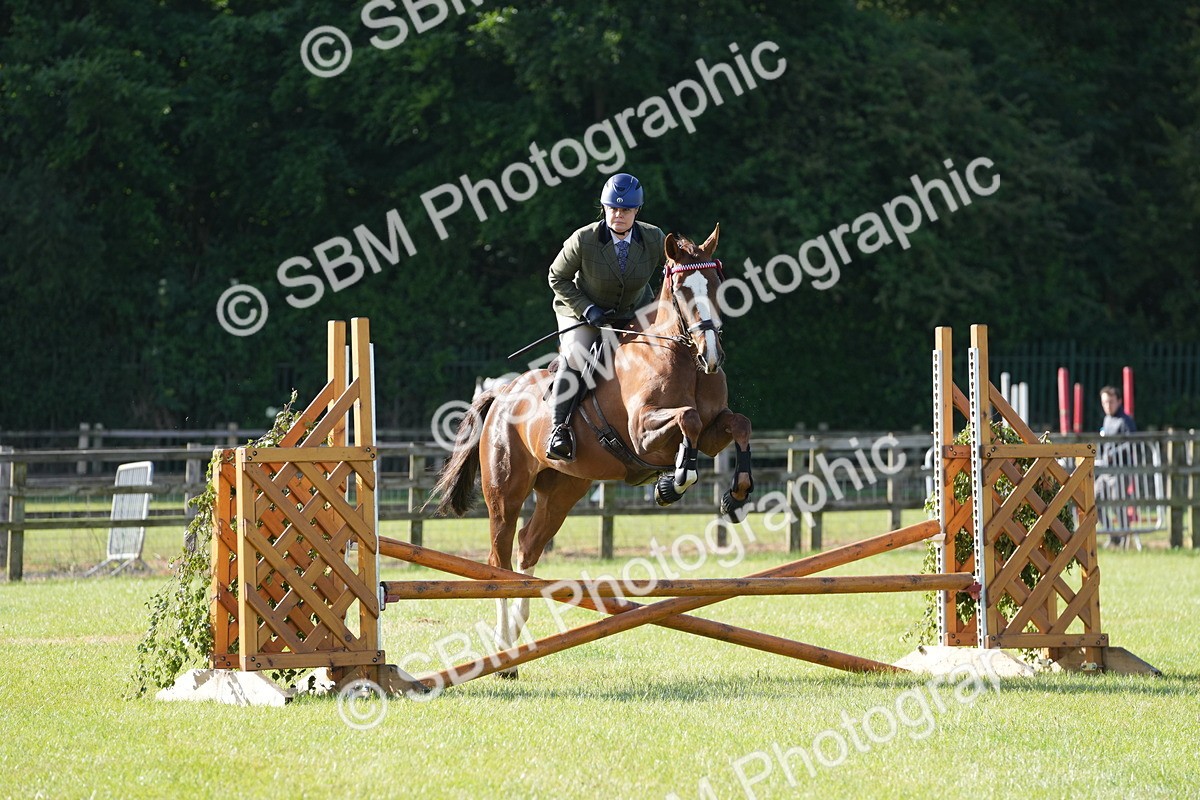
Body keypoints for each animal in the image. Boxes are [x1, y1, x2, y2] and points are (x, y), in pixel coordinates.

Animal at [430, 223, 754, 675]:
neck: (679, 357)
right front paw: (670, 484)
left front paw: (736, 496)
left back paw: (517, 638)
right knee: (499, 561)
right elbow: (687, 419)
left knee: (528, 546)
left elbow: (738, 424)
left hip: (563, 490)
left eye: (716, 283)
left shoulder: (712, 430)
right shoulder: (643, 432)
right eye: (682, 290)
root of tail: (501, 394)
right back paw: (503, 652)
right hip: (505, 493)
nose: (712, 355)